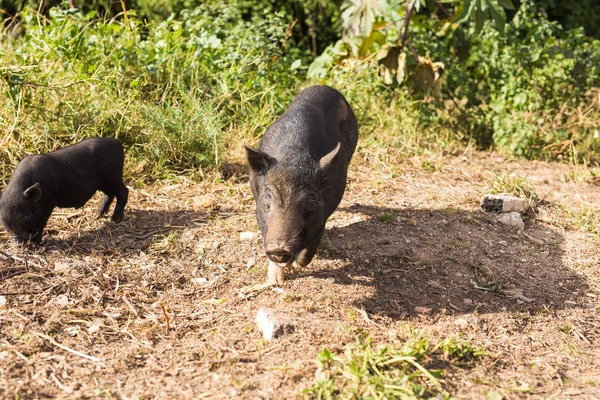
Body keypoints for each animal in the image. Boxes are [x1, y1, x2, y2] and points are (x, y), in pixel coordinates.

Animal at [246, 86, 358, 284]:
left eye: (309, 200)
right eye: (268, 201)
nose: (279, 248)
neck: (294, 156)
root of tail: (323, 86)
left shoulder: (321, 215)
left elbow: (308, 252)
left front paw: (295, 265)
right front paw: (275, 281)